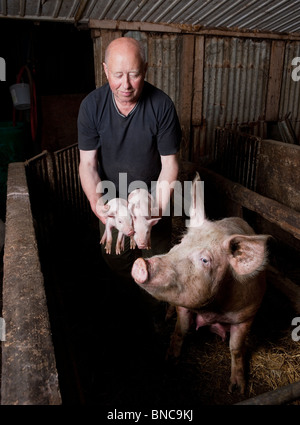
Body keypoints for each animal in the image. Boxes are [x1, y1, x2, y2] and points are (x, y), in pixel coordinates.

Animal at [131, 171, 270, 390]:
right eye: (180, 242)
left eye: (205, 260)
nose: (141, 263)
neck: (214, 309)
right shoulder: (183, 306)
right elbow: (182, 330)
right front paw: (170, 361)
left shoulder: (248, 313)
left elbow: (236, 348)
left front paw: (237, 388)